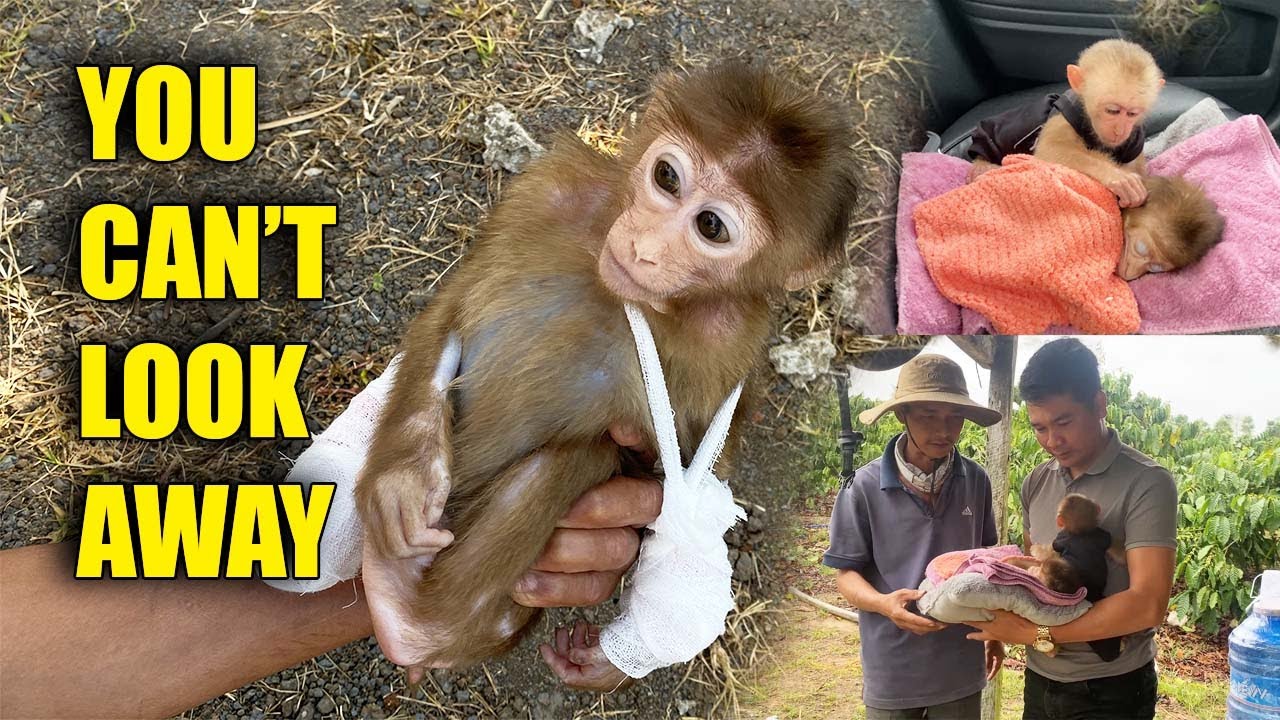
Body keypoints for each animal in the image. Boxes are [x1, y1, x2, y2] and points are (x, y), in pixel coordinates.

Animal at [352, 62, 860, 689]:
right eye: (667, 177)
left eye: (712, 226)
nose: (643, 247)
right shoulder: (549, 188)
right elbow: (451, 310)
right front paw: (405, 481)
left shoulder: (732, 344)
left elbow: (682, 477)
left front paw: (613, 657)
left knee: (571, 461)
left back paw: (420, 623)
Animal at [966, 39, 1164, 209]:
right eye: (1112, 111)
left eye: (1132, 114)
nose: (1120, 130)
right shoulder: (1064, 115)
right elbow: (1049, 150)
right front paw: (1117, 177)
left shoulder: (1135, 137)